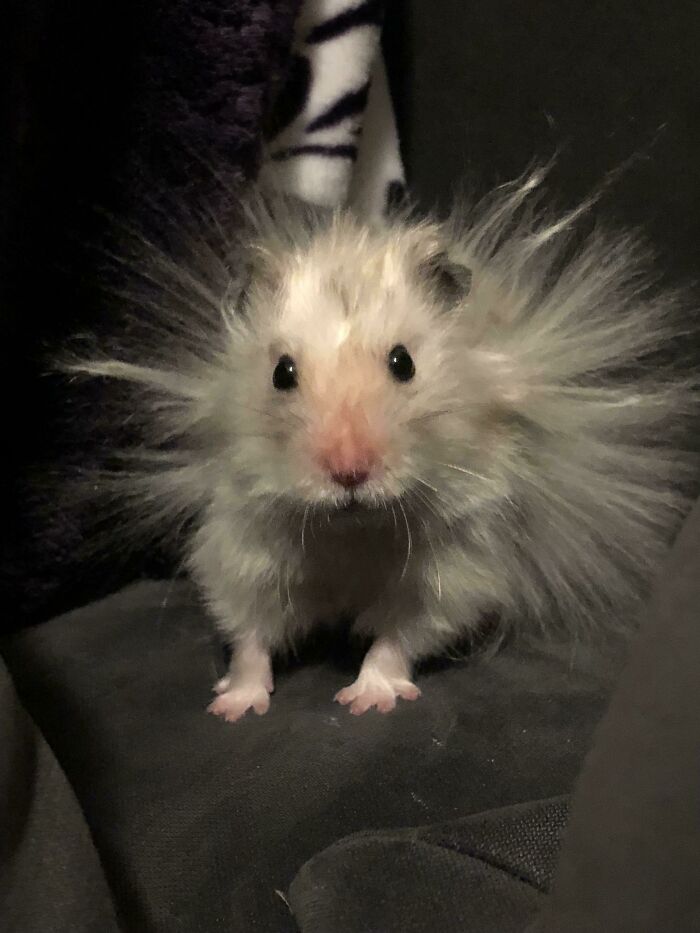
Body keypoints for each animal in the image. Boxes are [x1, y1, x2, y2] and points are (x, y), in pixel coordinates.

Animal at [68, 171, 696, 716]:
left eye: (404, 362)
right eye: (282, 373)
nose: (350, 472)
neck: (352, 529)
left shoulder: (450, 572)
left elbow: (397, 638)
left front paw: (366, 701)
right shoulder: (242, 550)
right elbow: (249, 636)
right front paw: (233, 708)